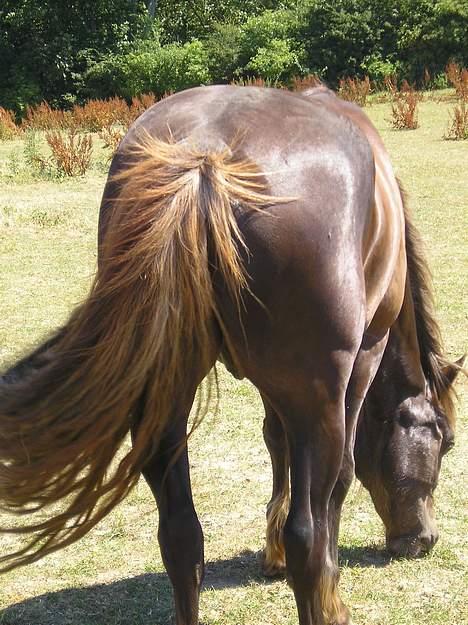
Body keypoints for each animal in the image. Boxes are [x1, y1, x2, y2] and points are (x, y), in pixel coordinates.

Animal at [0, 86, 462, 624]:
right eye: (447, 442)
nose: (424, 540)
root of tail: (204, 159)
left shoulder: (274, 388)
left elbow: (275, 441)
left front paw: (271, 553)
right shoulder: (363, 359)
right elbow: (341, 481)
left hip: (166, 400)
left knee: (181, 536)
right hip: (318, 401)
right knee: (307, 531)